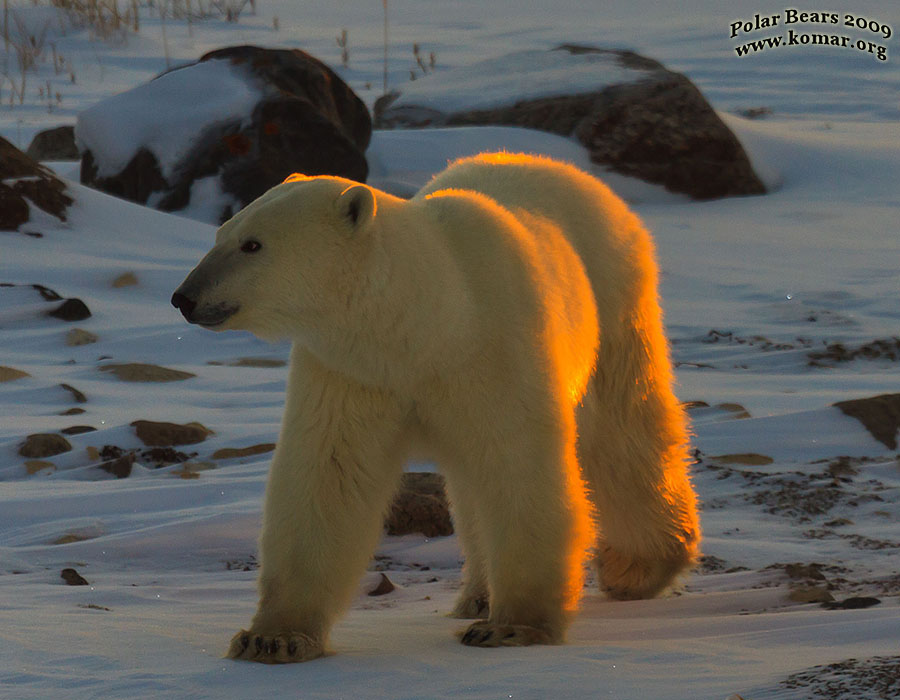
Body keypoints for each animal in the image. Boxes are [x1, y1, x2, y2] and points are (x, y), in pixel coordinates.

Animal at [172, 152, 700, 660]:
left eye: (253, 245)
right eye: (222, 232)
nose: (184, 297)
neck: (430, 324)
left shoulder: (494, 350)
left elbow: (518, 467)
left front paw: (513, 627)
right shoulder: (355, 371)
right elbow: (328, 475)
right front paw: (273, 638)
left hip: (613, 296)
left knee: (623, 433)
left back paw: (637, 567)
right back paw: (479, 594)